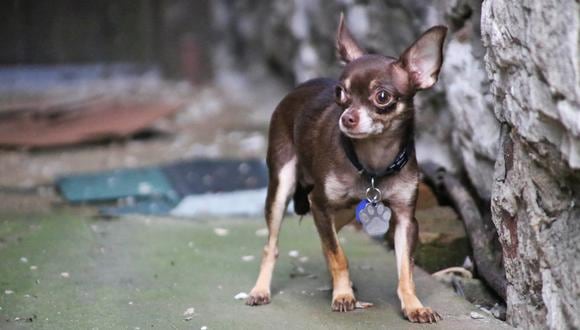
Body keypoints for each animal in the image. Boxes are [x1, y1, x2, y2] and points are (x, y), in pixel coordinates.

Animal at [247, 14, 446, 324]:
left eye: (382, 97)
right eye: (340, 92)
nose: (347, 117)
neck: (373, 163)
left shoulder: (405, 219)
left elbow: (405, 268)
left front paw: (413, 305)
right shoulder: (319, 203)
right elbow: (338, 255)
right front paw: (343, 296)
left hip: (342, 212)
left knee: (326, 239)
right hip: (282, 184)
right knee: (273, 244)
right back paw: (260, 289)